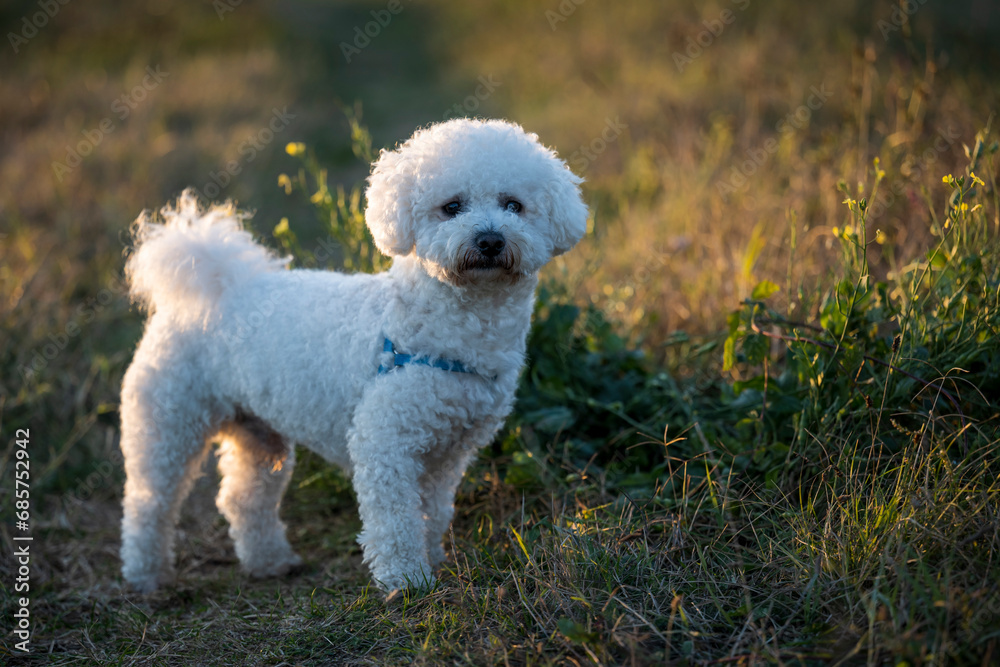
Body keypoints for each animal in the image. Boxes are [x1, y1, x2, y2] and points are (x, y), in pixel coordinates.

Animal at [119, 117, 584, 592]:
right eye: (452, 207)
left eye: (514, 206)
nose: (490, 240)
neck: (448, 330)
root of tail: (213, 283)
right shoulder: (385, 441)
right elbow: (395, 520)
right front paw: (406, 580)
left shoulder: (448, 453)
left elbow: (433, 511)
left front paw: (433, 559)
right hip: (168, 421)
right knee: (148, 502)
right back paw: (145, 576)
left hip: (260, 434)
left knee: (243, 498)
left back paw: (269, 561)